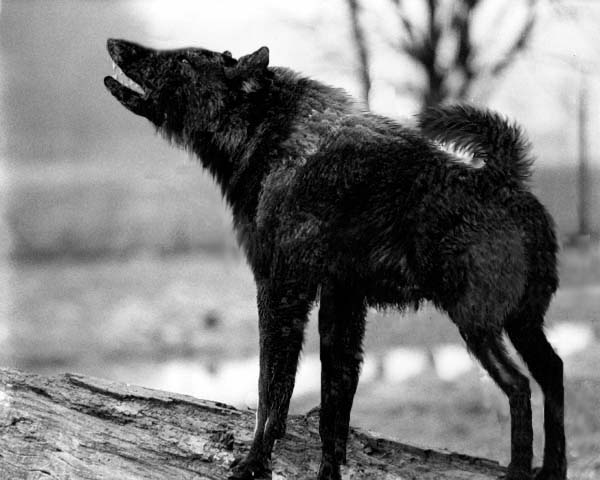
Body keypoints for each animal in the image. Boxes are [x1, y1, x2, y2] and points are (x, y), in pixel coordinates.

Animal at [104, 39, 566, 480]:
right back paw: (552, 469)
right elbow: (332, 410)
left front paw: (254, 462)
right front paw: (327, 470)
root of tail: (502, 179)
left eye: (185, 61)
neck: (270, 140)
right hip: (522, 325)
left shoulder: (281, 294)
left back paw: (519, 471)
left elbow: (271, 393)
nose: (117, 44)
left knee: (519, 386)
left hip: (477, 326)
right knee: (553, 373)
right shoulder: (340, 303)